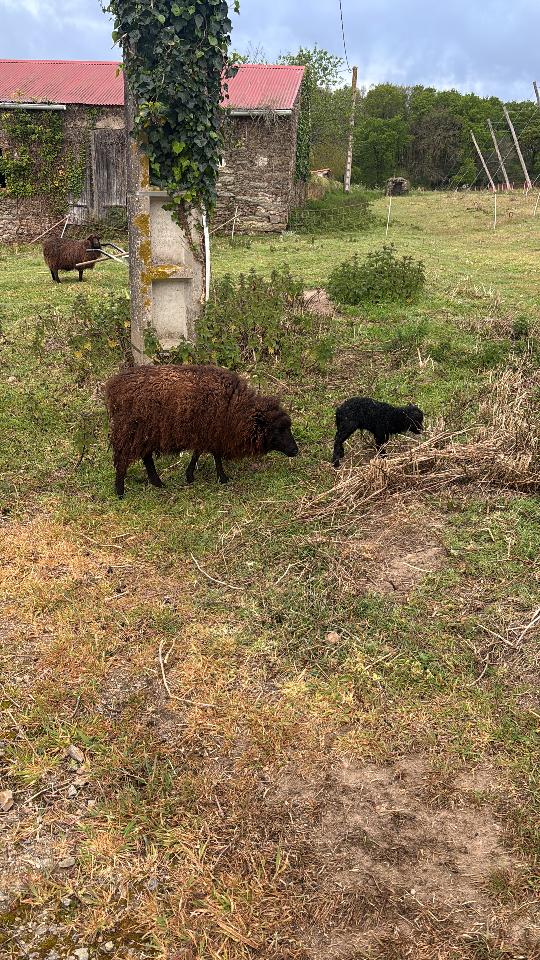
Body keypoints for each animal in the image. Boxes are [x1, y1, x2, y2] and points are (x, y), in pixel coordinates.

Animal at [104, 364, 299, 497]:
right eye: (278, 429)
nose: (295, 450)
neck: (235, 407)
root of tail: (114, 386)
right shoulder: (213, 432)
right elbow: (215, 455)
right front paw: (222, 478)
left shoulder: (208, 432)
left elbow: (199, 453)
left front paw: (190, 475)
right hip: (130, 430)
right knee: (123, 459)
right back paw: (120, 491)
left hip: (145, 433)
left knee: (146, 457)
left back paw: (157, 483)